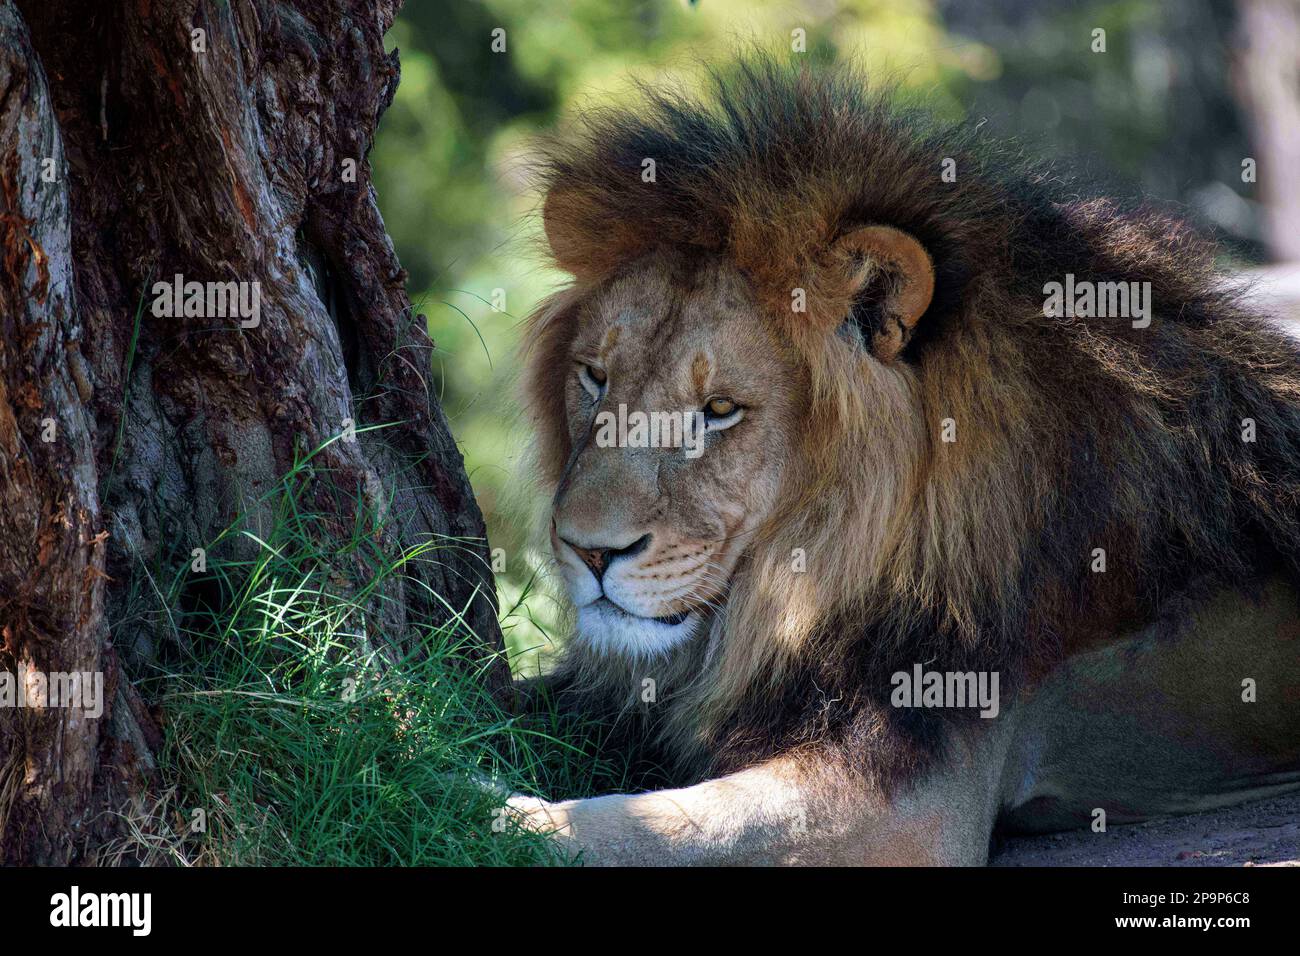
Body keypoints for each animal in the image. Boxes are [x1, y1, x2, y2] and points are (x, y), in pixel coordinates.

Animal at [496, 57, 1300, 868]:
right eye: (595, 377)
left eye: (720, 409)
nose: (587, 551)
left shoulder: (911, 797)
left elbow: (673, 826)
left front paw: (502, 813)